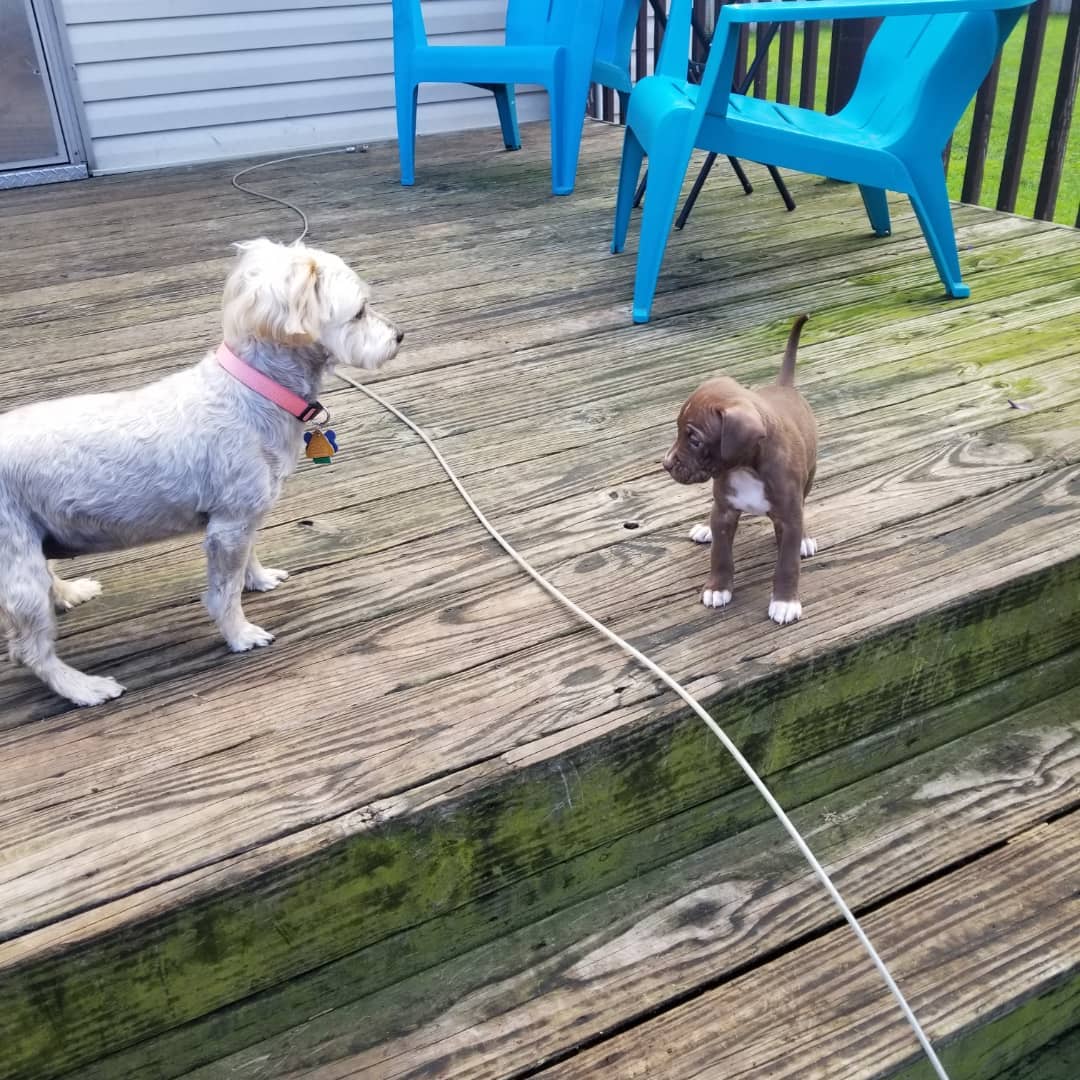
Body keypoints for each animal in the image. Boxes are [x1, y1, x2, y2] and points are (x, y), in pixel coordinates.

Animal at [0, 238, 403, 708]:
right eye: (359, 311)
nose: (399, 336)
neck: (254, 391)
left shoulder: (246, 516)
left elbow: (249, 557)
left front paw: (259, 578)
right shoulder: (228, 526)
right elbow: (223, 592)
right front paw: (240, 634)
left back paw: (68, 592)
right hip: (15, 557)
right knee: (29, 649)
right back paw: (84, 687)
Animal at [660, 315, 812, 626]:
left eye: (695, 440)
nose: (666, 463)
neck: (746, 469)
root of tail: (784, 387)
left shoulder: (790, 517)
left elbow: (787, 563)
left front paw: (785, 602)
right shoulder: (724, 511)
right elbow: (720, 554)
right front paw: (718, 588)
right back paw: (704, 529)